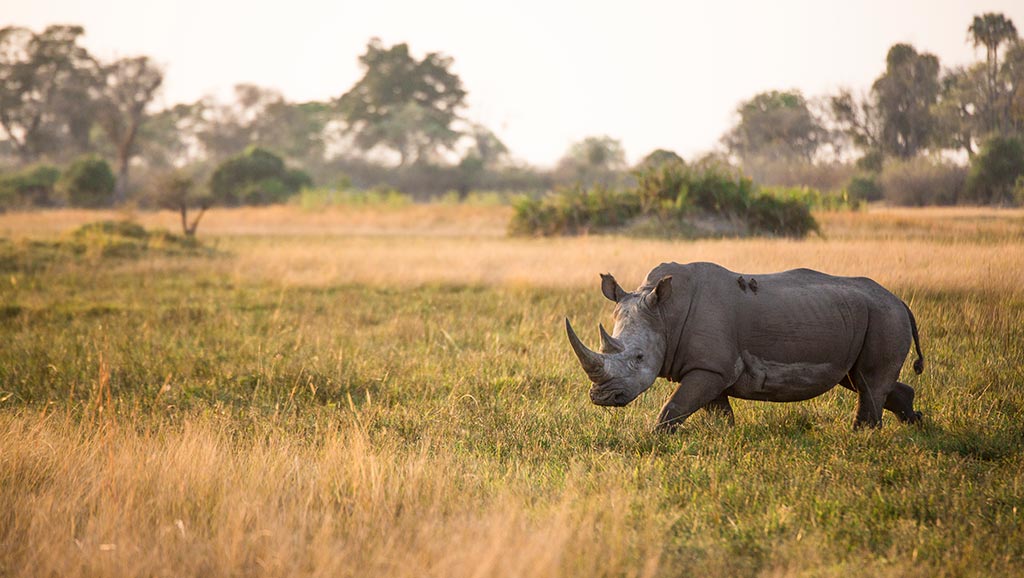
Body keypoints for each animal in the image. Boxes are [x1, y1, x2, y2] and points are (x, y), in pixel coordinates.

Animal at [565, 260, 925, 428]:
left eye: (639, 357)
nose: (602, 398)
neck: (665, 313)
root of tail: (899, 301)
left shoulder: (710, 367)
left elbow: (673, 407)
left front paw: (656, 439)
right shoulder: (709, 367)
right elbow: (717, 412)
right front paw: (724, 437)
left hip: (883, 315)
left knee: (868, 382)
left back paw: (861, 435)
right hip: (867, 316)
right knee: (858, 380)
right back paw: (914, 422)